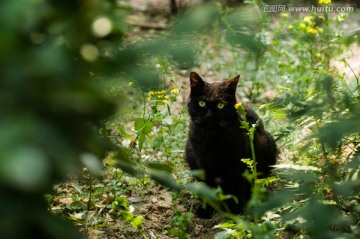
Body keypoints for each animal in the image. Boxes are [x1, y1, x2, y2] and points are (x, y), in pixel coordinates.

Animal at [184, 72, 278, 216]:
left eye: (220, 105)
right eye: (202, 103)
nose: (210, 116)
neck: (213, 138)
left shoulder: (237, 163)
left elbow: (236, 187)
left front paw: (234, 211)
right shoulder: (204, 163)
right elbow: (209, 187)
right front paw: (206, 210)